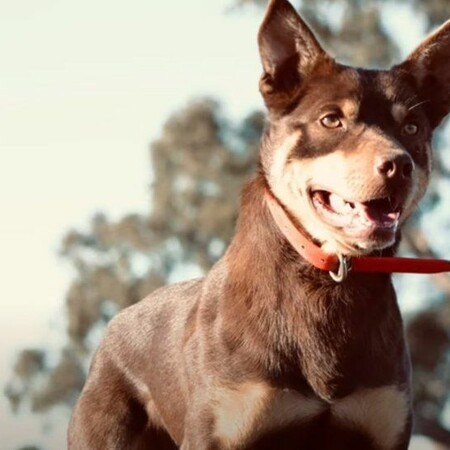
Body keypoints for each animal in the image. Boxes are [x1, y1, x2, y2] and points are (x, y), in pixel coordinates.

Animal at [67, 1, 450, 448]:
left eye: (412, 127)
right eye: (331, 120)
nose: (398, 166)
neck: (327, 280)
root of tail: (114, 325)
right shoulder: (219, 430)